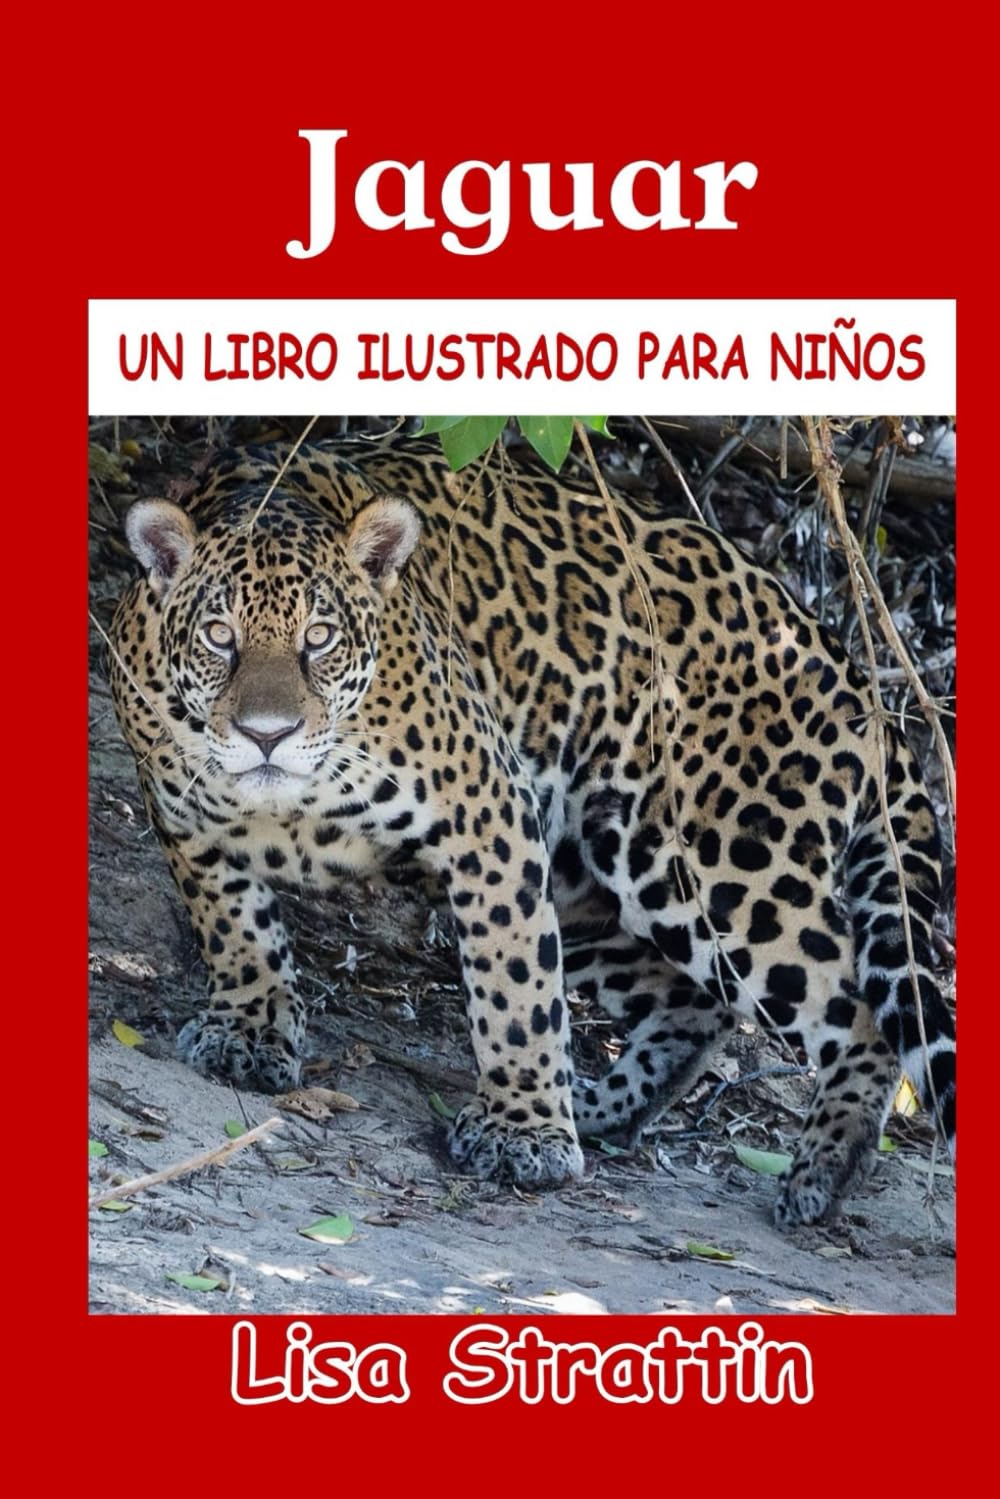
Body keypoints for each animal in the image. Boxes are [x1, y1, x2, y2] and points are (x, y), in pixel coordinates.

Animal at [108, 432, 956, 1229]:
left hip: (718, 862)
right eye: (219, 635)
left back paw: (821, 1171)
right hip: (595, 883)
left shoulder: (488, 810)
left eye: (319, 637)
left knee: (857, 1010)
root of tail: (846, 661)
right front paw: (249, 1030)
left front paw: (525, 1133)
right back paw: (604, 1106)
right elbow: (235, 926)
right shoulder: (184, 820)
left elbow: (514, 986)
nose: (267, 734)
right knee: (695, 1003)